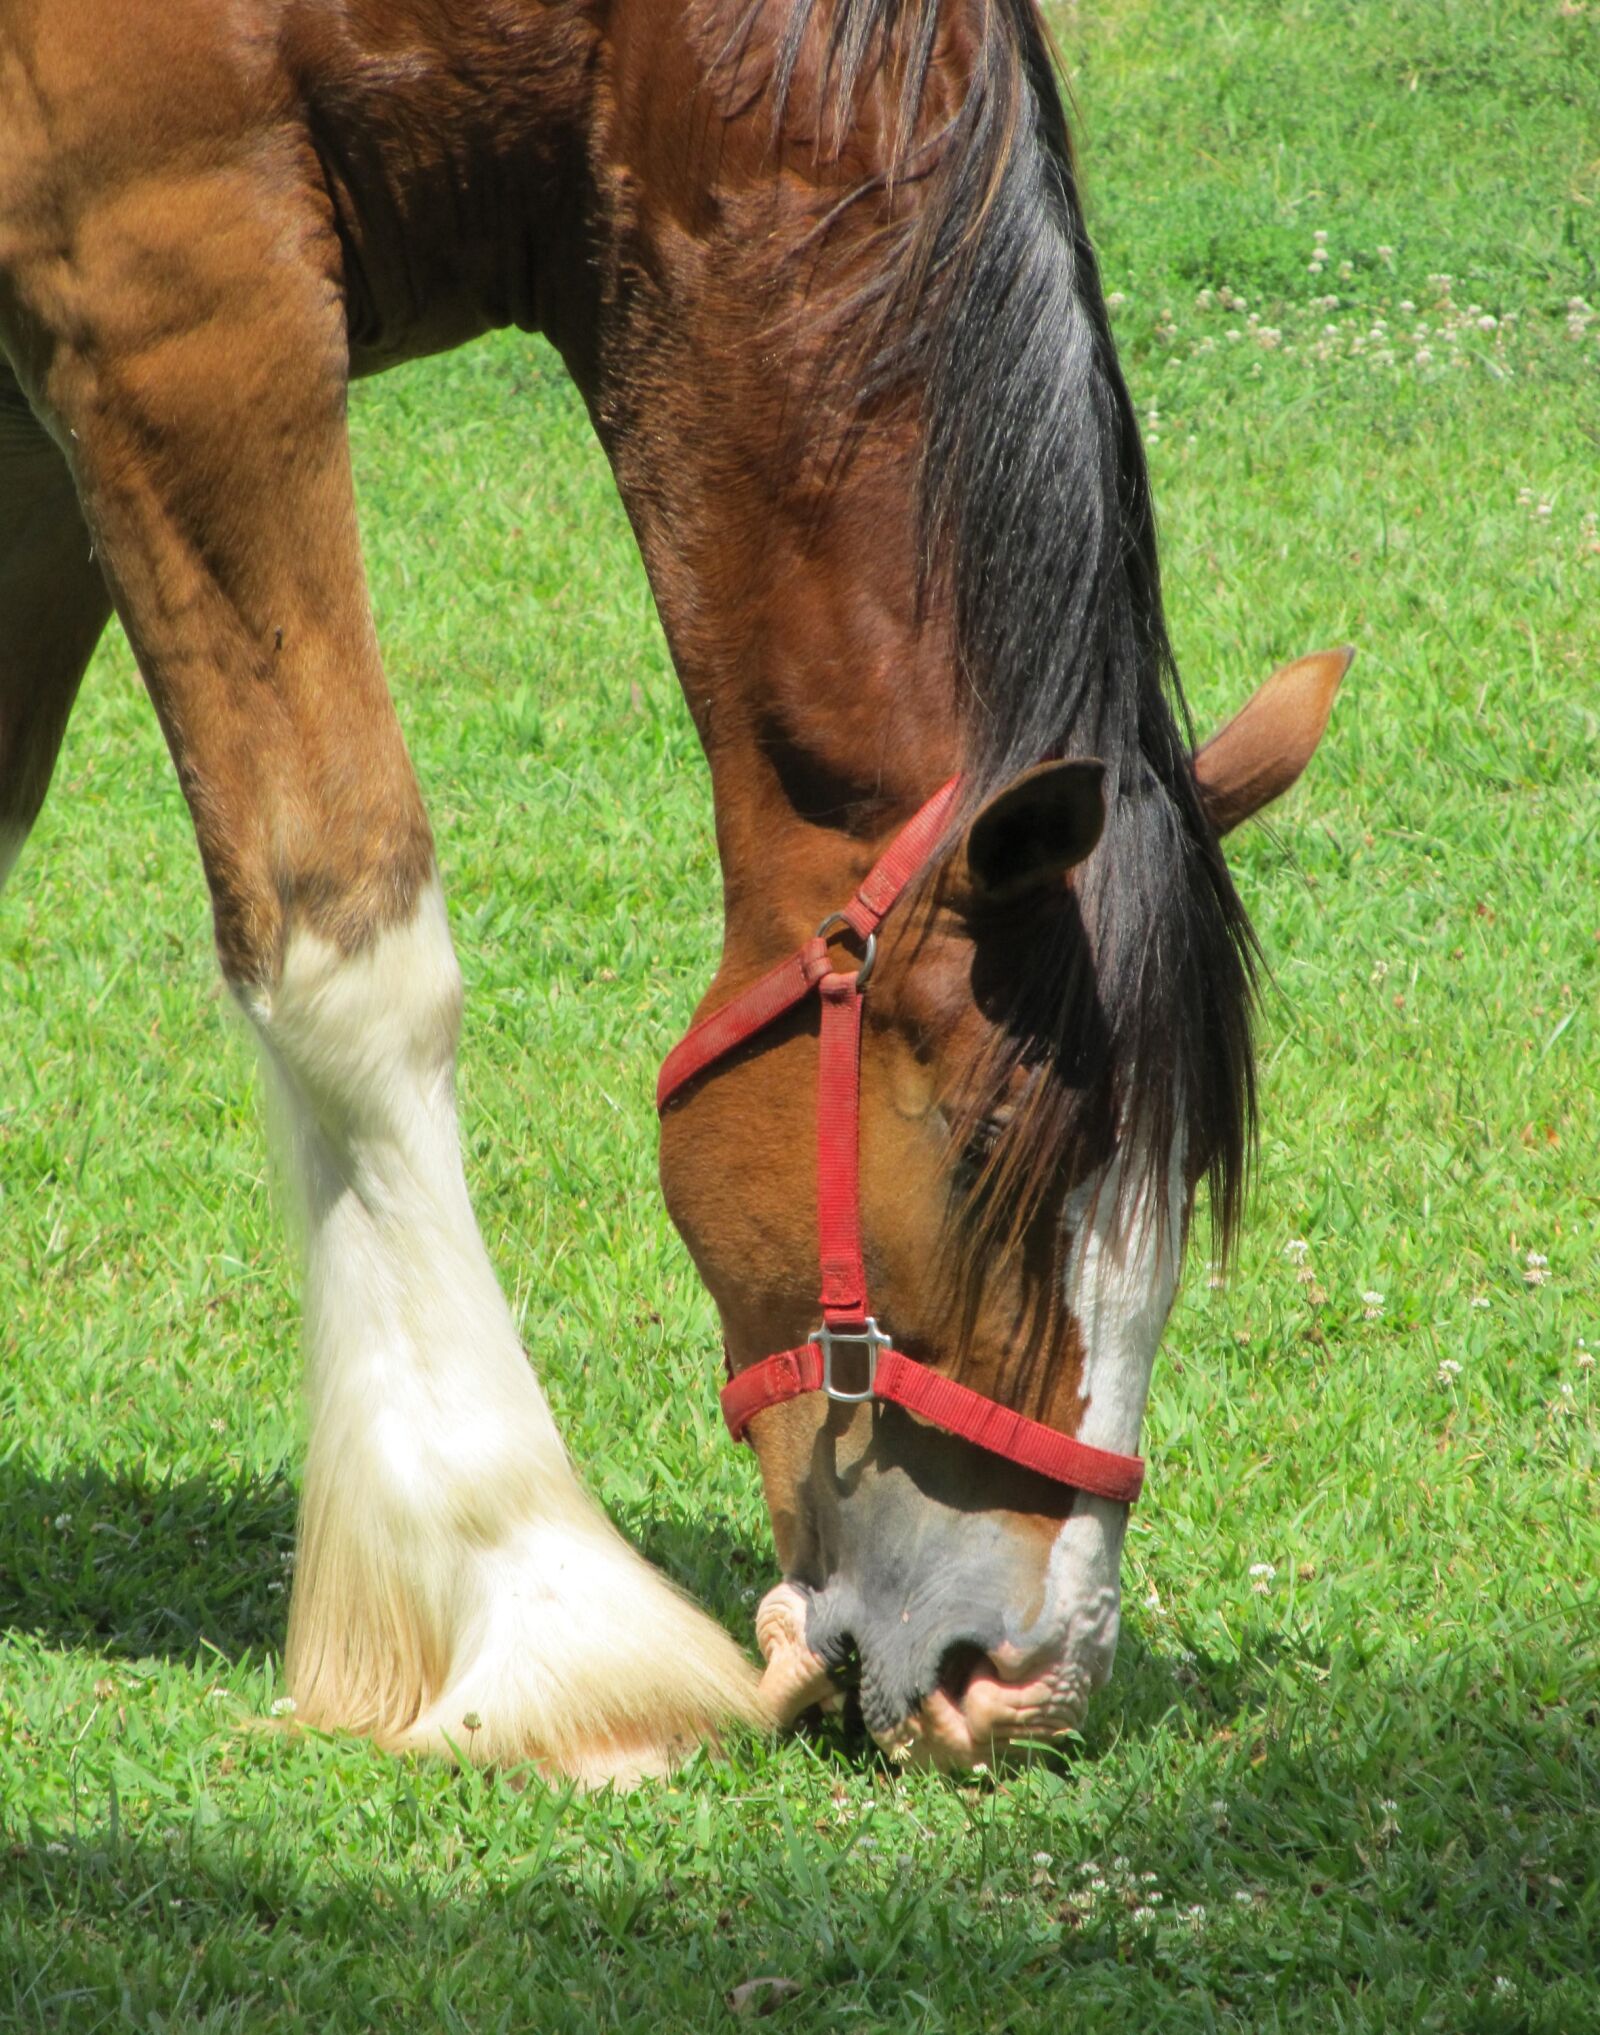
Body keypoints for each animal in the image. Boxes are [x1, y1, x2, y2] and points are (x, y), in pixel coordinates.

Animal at [0, 0, 1343, 1782]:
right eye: (989, 1135)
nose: (1023, 1682)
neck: (604, 54)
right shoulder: (170, 285)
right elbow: (348, 931)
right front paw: (545, 1605)